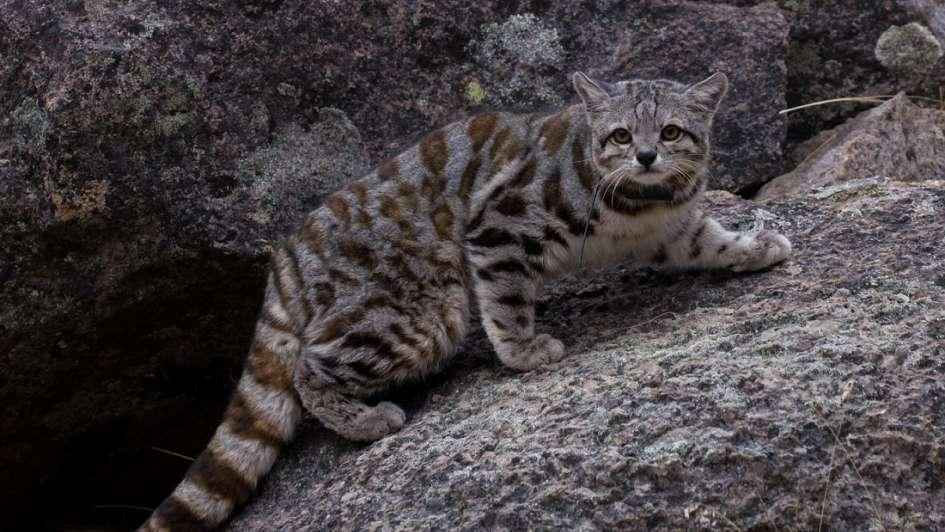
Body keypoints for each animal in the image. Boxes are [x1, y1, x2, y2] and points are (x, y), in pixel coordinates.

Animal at [140, 71, 788, 532]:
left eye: (672, 132)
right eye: (622, 135)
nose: (648, 156)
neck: (639, 202)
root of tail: (287, 260)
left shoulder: (676, 230)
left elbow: (712, 241)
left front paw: (756, 246)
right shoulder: (498, 224)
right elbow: (504, 299)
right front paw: (524, 350)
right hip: (418, 313)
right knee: (308, 368)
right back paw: (366, 420)